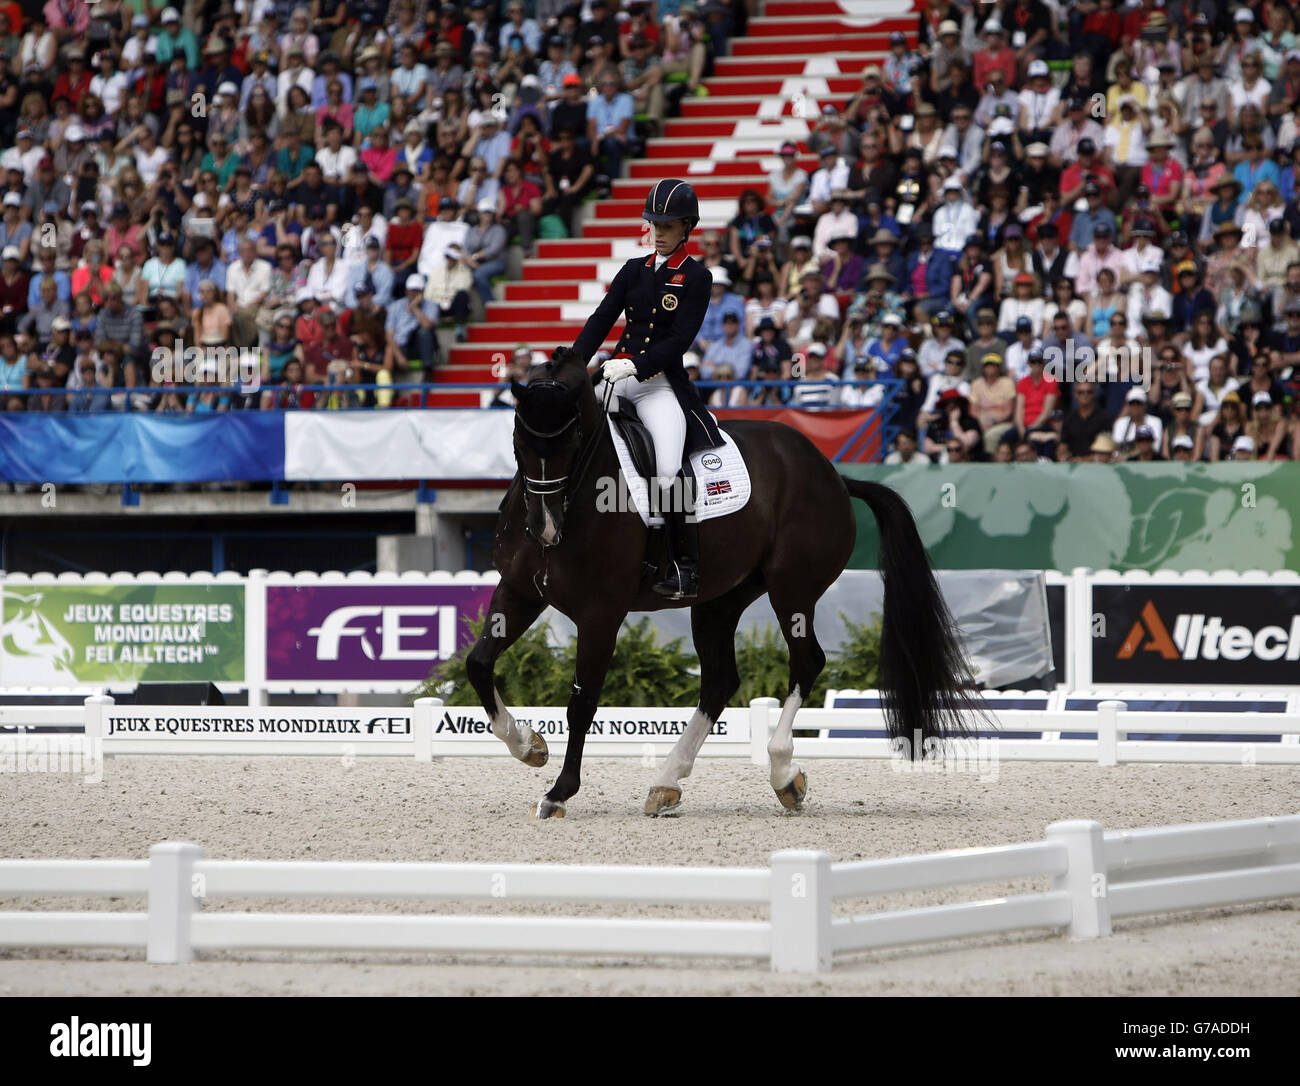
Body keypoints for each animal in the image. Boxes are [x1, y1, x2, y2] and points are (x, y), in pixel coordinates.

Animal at [467, 348, 977, 816]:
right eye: (518, 441)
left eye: (573, 440)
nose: (544, 528)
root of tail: (830, 471)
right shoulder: (520, 592)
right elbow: (478, 665)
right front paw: (530, 746)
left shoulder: (601, 614)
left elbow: (582, 702)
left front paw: (558, 792)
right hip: (720, 599)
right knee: (719, 680)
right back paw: (667, 782)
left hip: (792, 588)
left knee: (806, 662)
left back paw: (783, 774)